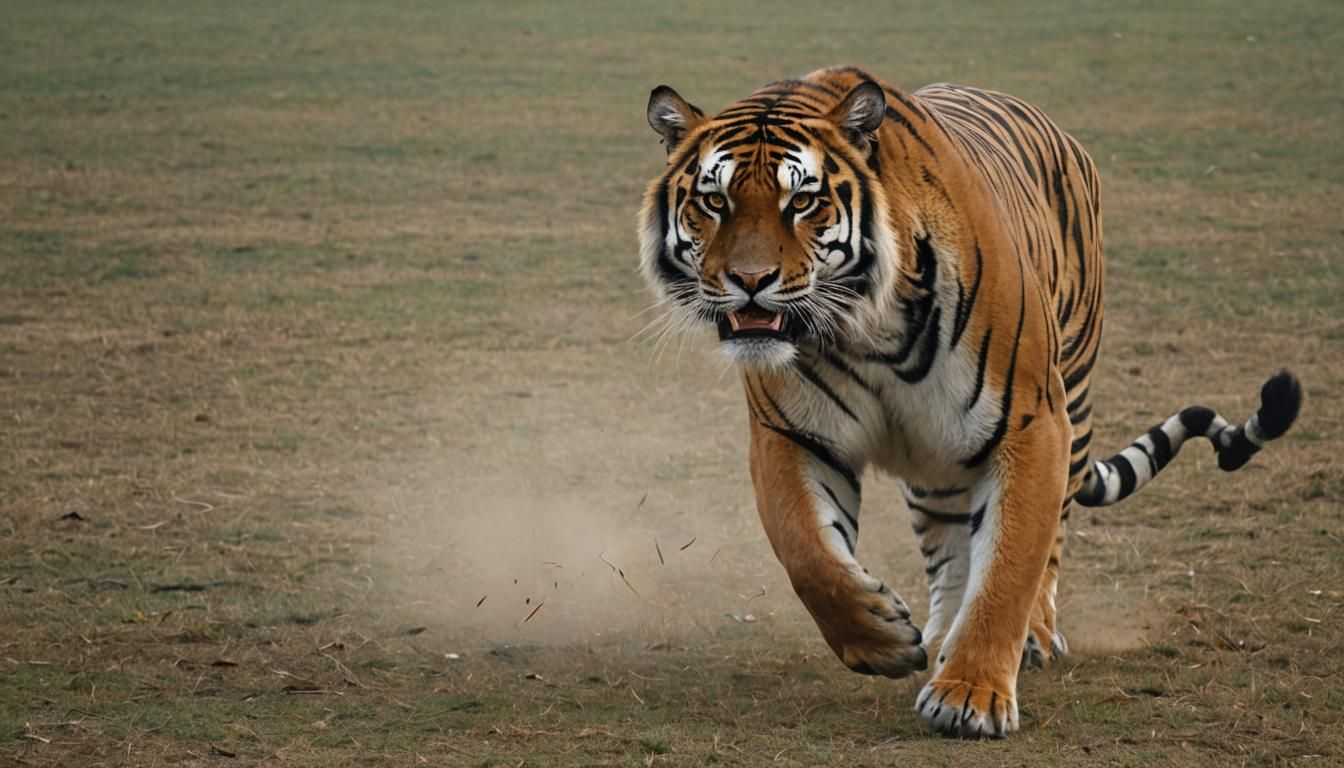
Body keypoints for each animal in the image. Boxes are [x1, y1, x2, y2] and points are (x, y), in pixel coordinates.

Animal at [637, 65, 1302, 738]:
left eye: (801, 201)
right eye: (714, 201)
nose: (749, 282)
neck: (865, 329)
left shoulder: (1033, 426)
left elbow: (1009, 568)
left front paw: (971, 695)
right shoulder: (792, 434)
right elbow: (807, 551)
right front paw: (881, 636)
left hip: (1070, 398)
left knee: (1047, 543)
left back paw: (1031, 639)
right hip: (938, 459)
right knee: (951, 552)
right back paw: (938, 636)